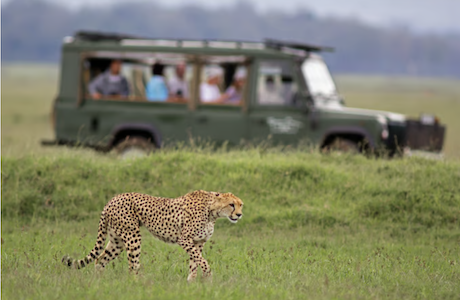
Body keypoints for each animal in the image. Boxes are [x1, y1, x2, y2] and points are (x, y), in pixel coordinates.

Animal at [63, 190, 246, 282]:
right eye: (231, 205)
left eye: (241, 205)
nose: (239, 215)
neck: (212, 211)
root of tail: (113, 199)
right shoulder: (185, 239)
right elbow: (202, 261)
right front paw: (208, 275)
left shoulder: (198, 242)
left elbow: (195, 261)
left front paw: (192, 282)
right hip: (133, 236)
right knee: (132, 266)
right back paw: (138, 283)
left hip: (117, 241)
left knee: (100, 260)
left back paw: (99, 283)